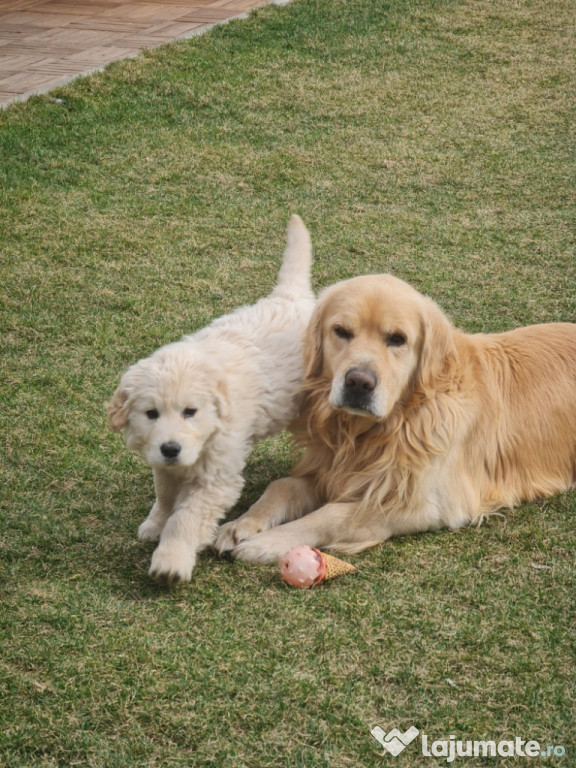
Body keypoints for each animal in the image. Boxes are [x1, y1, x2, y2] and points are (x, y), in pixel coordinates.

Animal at [108, 219, 316, 584]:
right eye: (151, 414)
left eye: (190, 412)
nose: (171, 448)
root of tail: (290, 295)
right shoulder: (164, 461)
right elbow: (165, 495)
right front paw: (155, 523)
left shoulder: (216, 478)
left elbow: (186, 518)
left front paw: (171, 560)